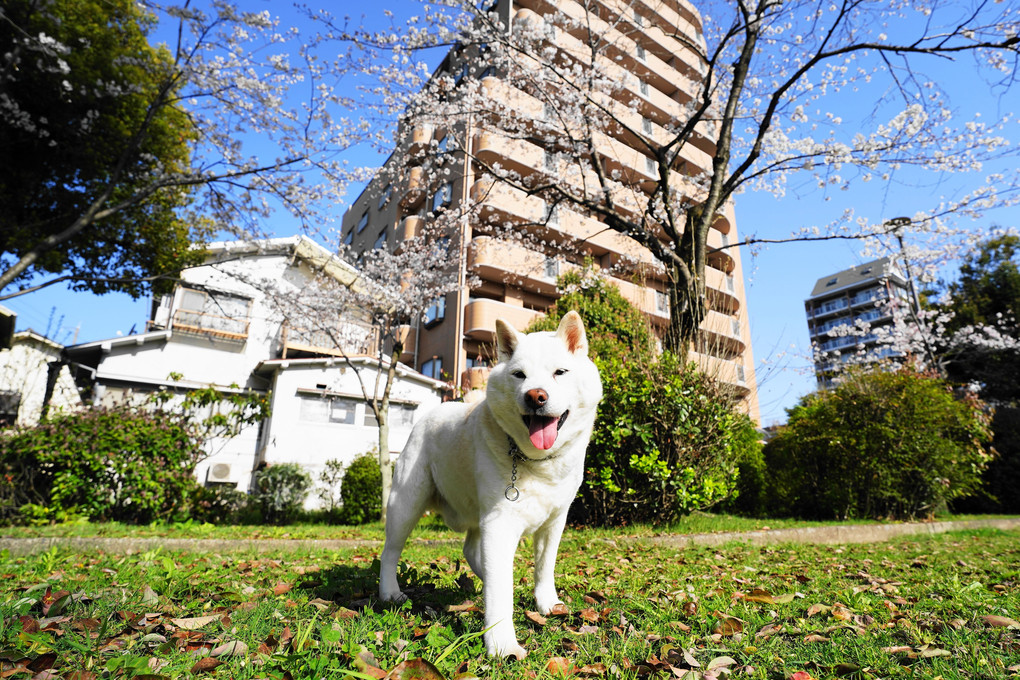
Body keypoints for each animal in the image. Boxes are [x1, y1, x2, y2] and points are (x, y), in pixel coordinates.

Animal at [383, 311, 603, 660]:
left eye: (560, 372)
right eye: (519, 375)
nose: (535, 396)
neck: (536, 462)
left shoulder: (554, 522)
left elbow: (544, 567)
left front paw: (546, 602)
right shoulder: (499, 524)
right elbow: (500, 592)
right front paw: (502, 644)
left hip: (476, 513)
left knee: (471, 549)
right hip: (406, 504)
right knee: (390, 552)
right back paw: (390, 592)